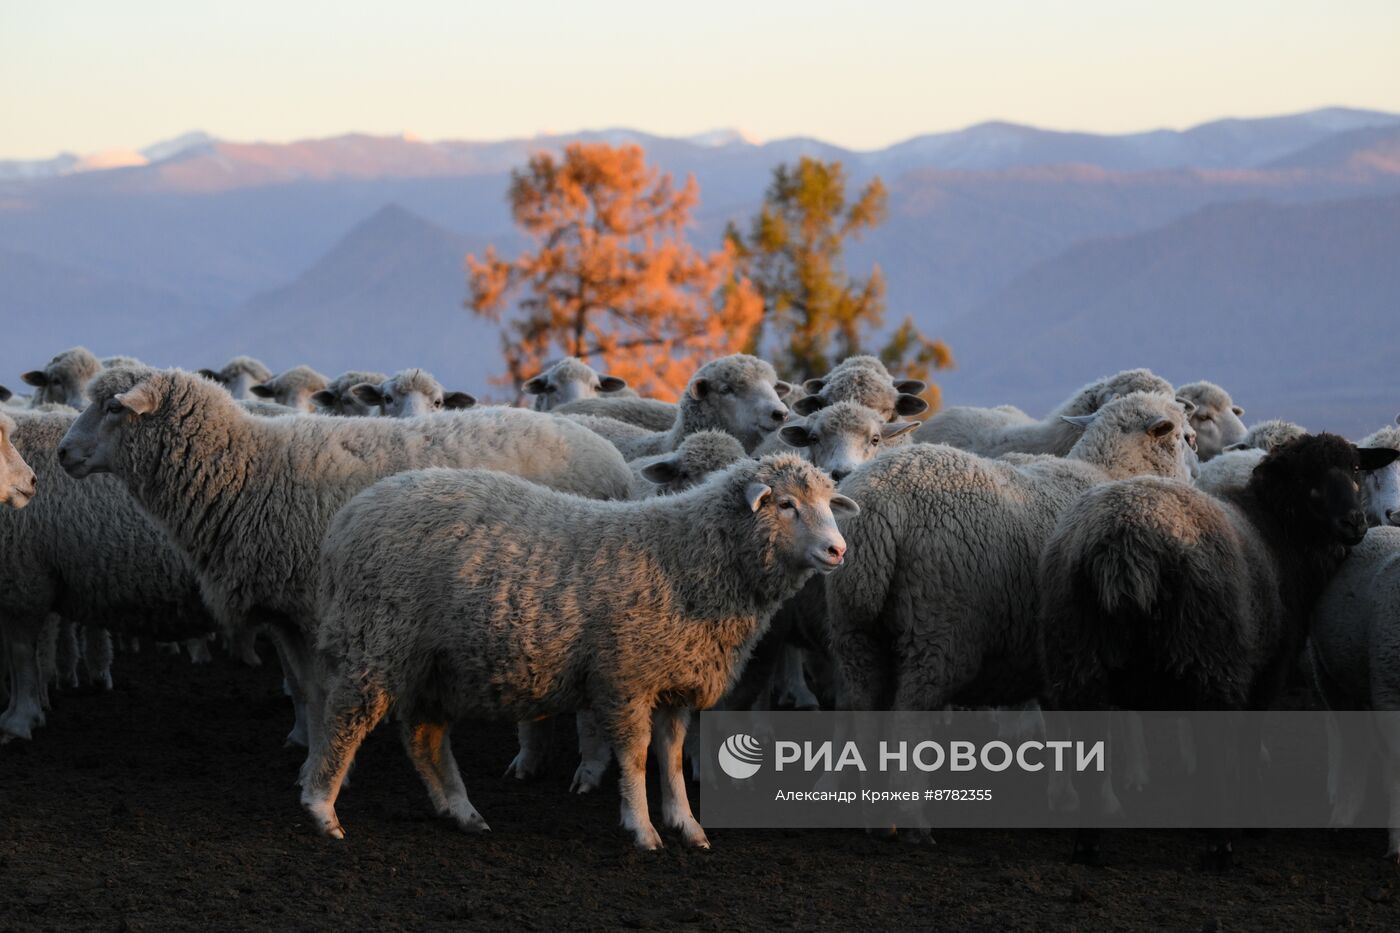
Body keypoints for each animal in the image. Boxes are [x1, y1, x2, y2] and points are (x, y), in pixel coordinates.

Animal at [57, 367, 638, 745]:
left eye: (113, 407)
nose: (62, 453)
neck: (246, 470)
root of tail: (604, 451)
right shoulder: (285, 609)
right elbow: (299, 688)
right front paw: (304, 742)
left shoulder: (320, 608)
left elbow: (319, 691)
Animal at [301, 453, 856, 846]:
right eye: (786, 504)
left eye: (829, 503)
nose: (838, 550)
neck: (688, 557)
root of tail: (350, 515)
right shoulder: (626, 677)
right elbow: (635, 757)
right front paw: (643, 829)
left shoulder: (673, 679)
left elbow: (672, 759)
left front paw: (686, 825)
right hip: (378, 641)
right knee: (345, 720)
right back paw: (322, 810)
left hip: (435, 663)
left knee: (424, 737)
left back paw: (462, 812)